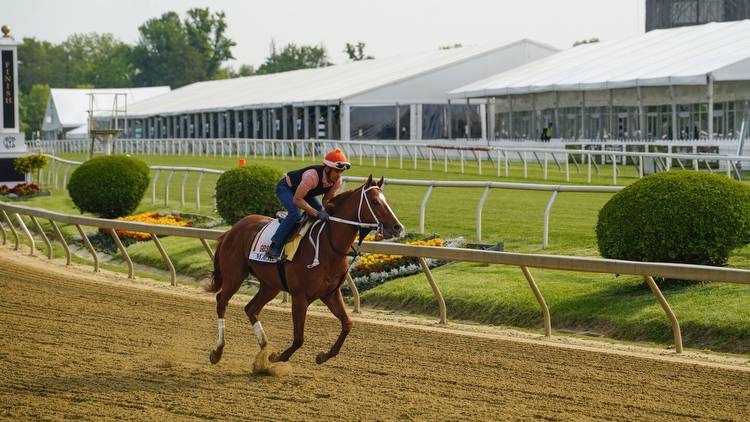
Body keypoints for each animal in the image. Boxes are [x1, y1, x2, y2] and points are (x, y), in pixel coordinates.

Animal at [206, 176, 402, 364]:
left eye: (387, 200)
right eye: (375, 202)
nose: (398, 227)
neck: (327, 245)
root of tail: (231, 230)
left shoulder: (330, 294)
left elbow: (347, 324)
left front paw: (323, 356)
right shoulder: (300, 297)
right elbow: (299, 339)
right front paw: (277, 357)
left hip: (270, 285)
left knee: (251, 309)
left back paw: (264, 348)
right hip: (234, 276)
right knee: (221, 301)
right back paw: (218, 351)